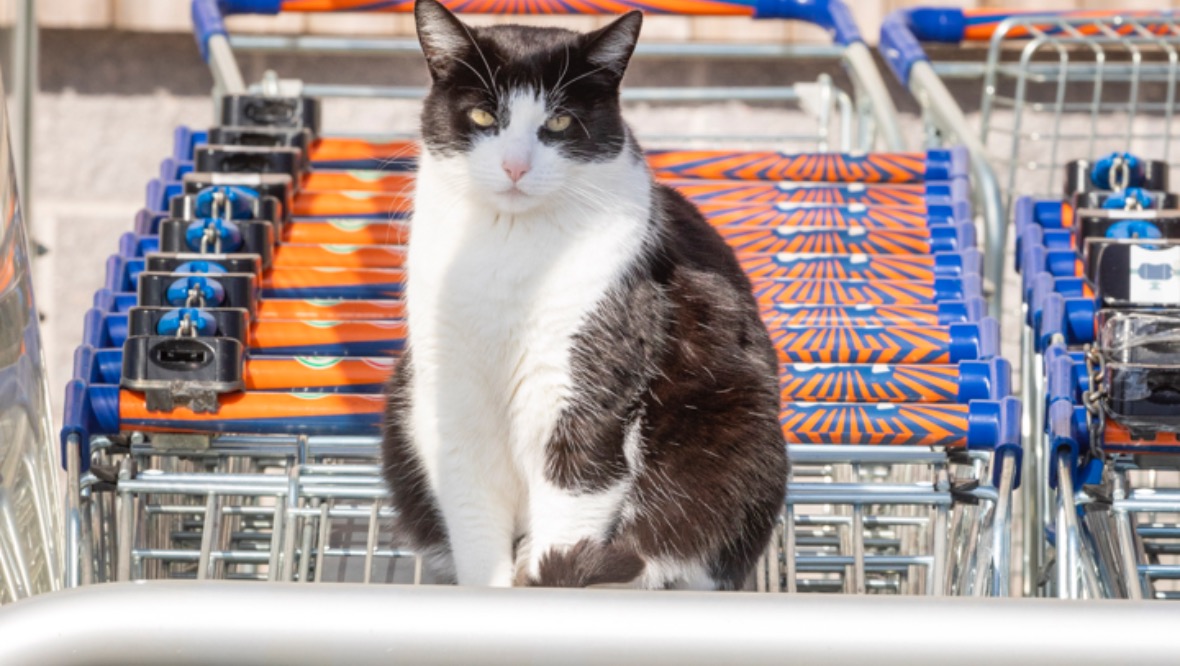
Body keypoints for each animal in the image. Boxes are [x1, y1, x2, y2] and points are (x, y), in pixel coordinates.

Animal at [382, 0, 788, 590]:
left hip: (738, 437)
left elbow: (575, 495)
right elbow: (472, 512)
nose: (515, 166)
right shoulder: (451, 393)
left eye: (558, 122)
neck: (509, 249)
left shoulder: (591, 386)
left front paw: (549, 574)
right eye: (483, 117)